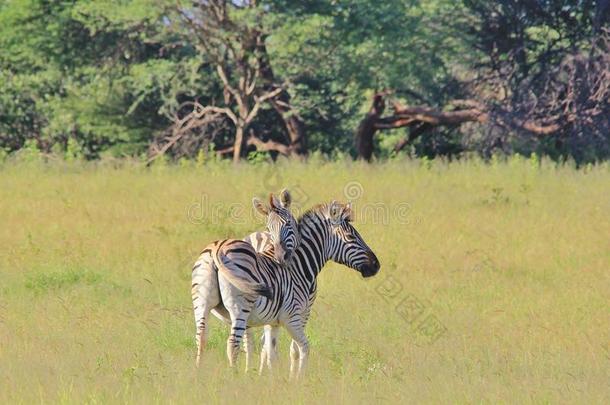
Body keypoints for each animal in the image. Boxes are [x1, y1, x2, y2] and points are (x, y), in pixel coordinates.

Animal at [195, 200, 378, 378]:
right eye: (350, 236)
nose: (377, 265)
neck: (298, 268)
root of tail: (217, 248)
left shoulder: (273, 321)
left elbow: (272, 350)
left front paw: (273, 379)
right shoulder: (294, 316)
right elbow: (302, 347)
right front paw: (297, 380)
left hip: (201, 303)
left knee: (202, 337)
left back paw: (199, 377)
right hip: (240, 308)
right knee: (233, 343)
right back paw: (235, 379)